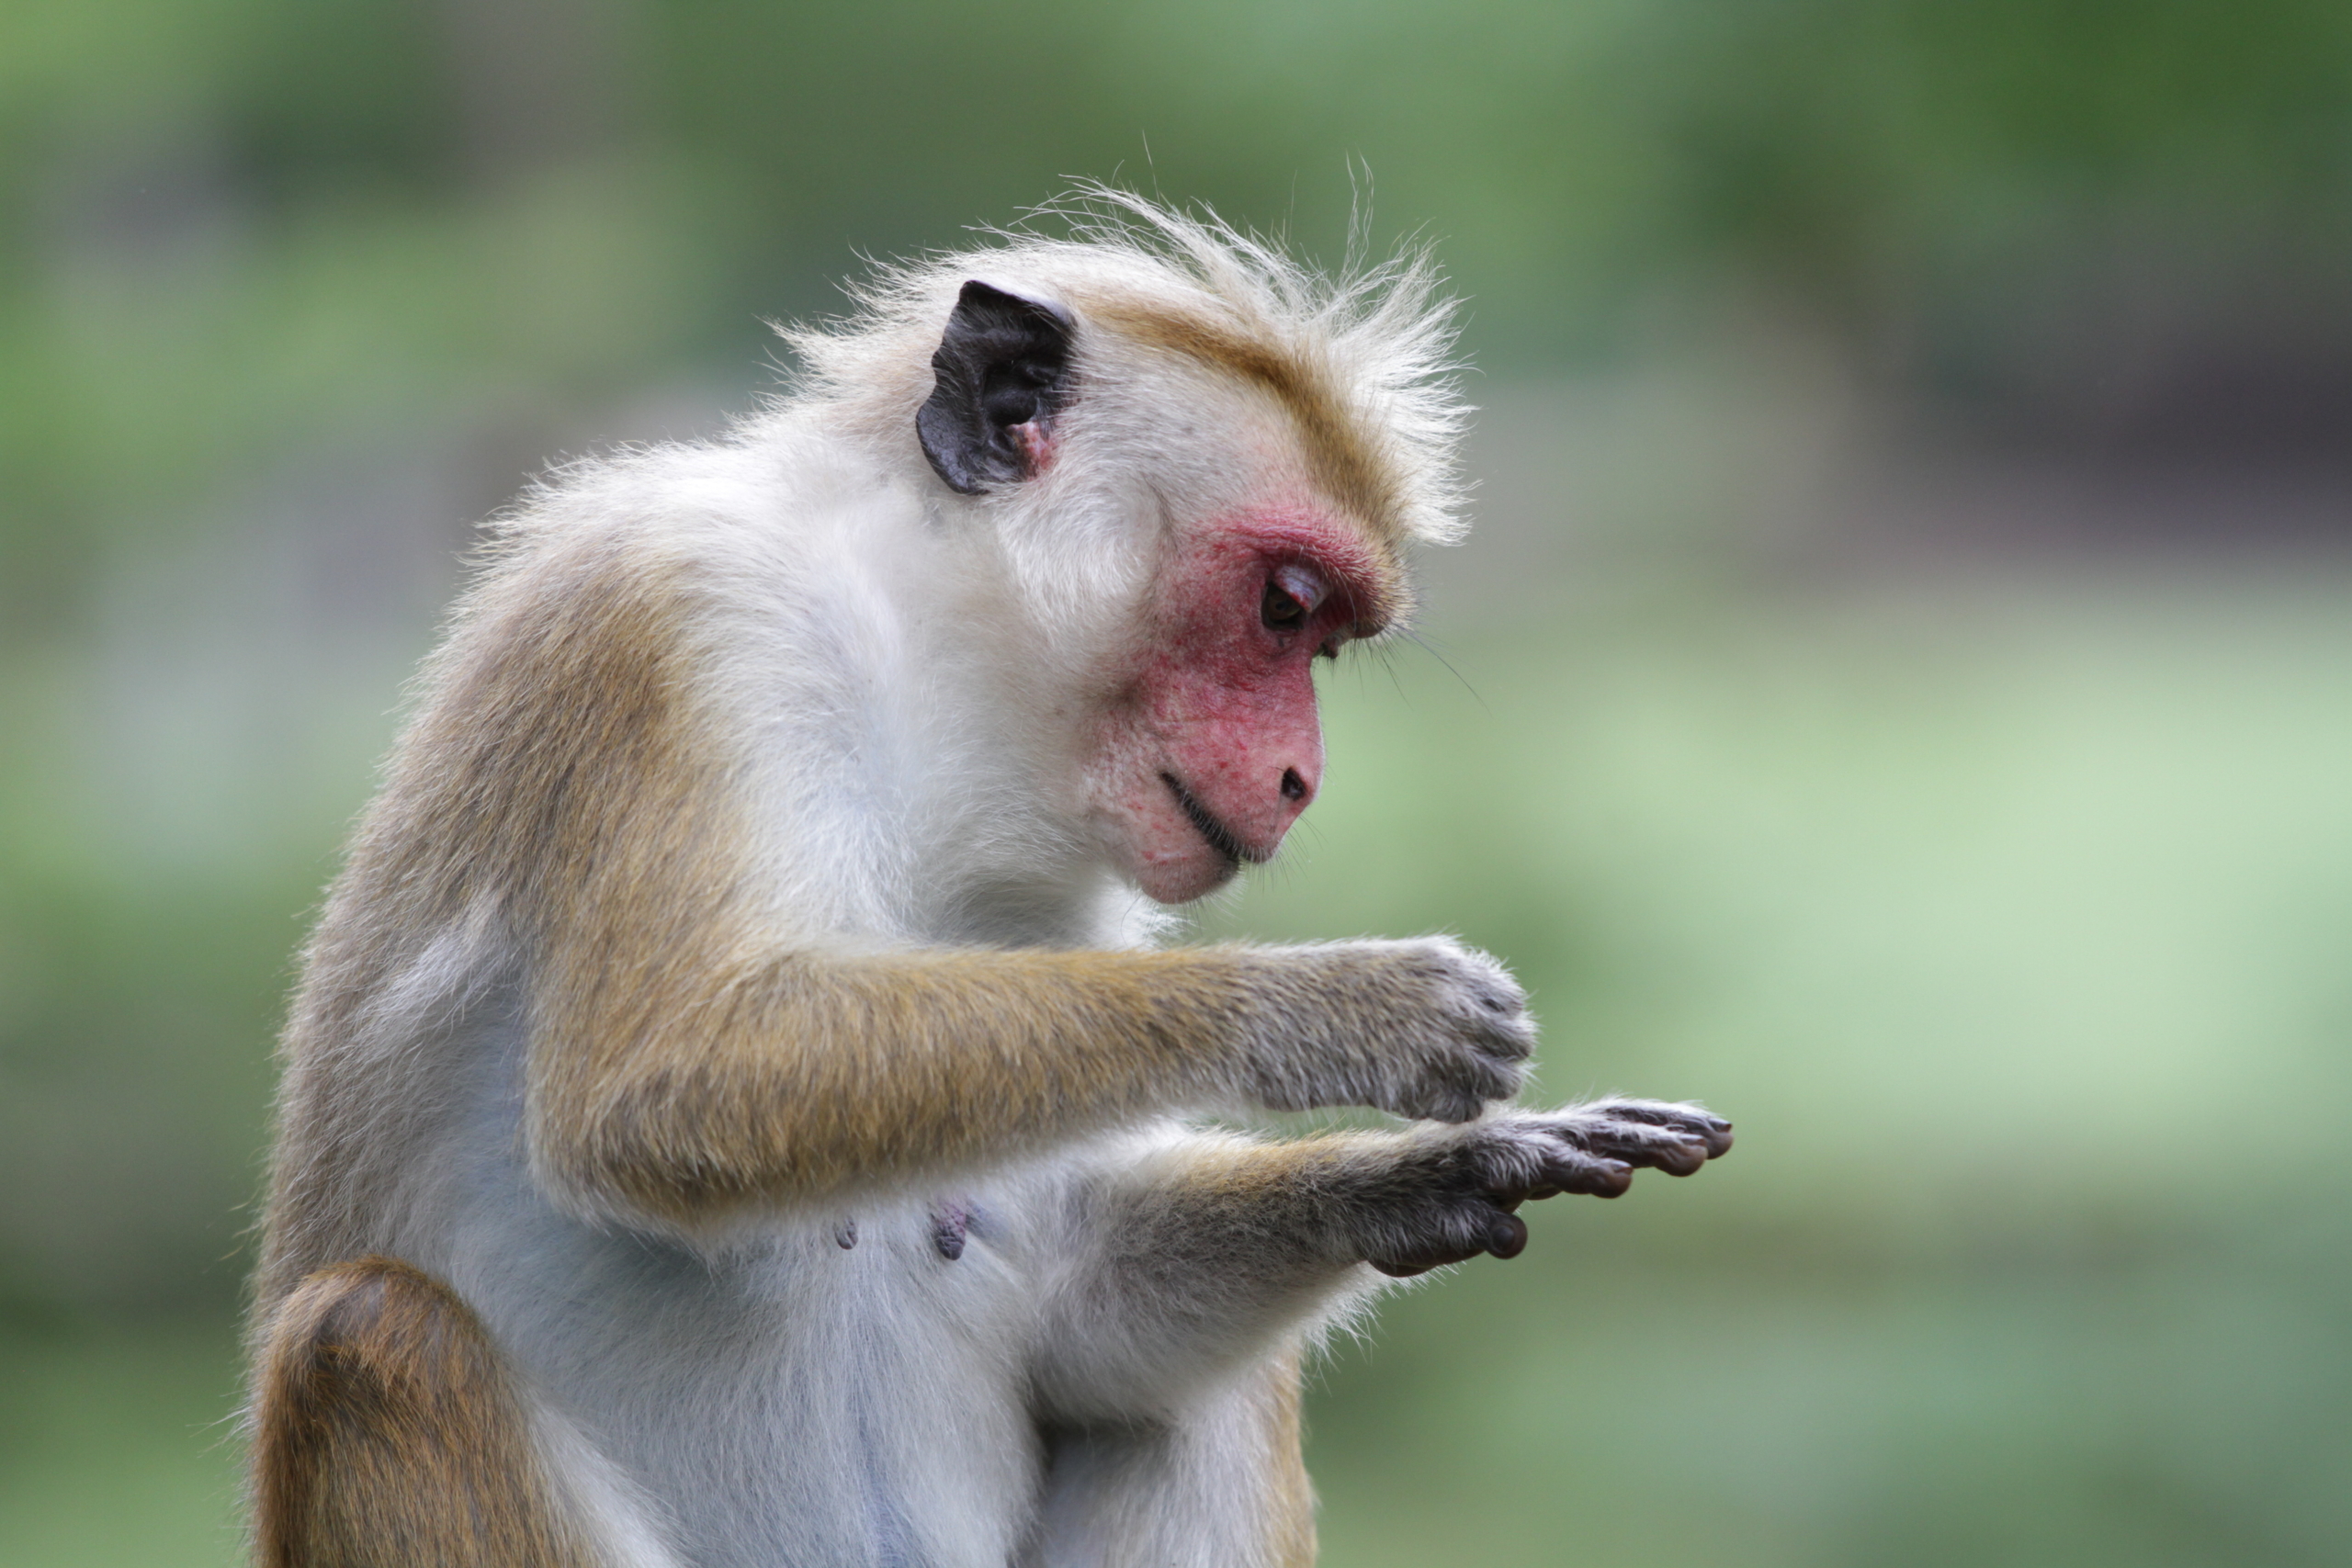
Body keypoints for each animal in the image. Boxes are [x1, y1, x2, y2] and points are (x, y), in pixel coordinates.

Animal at [248, 192, 1731, 1568]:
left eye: (1320, 636)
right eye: (1283, 606)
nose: (1302, 778)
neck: (923, 685)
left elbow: (1080, 1310)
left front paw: (1422, 1172)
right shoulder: (678, 622)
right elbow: (655, 1079)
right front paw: (1346, 1011)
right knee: (370, 1332)